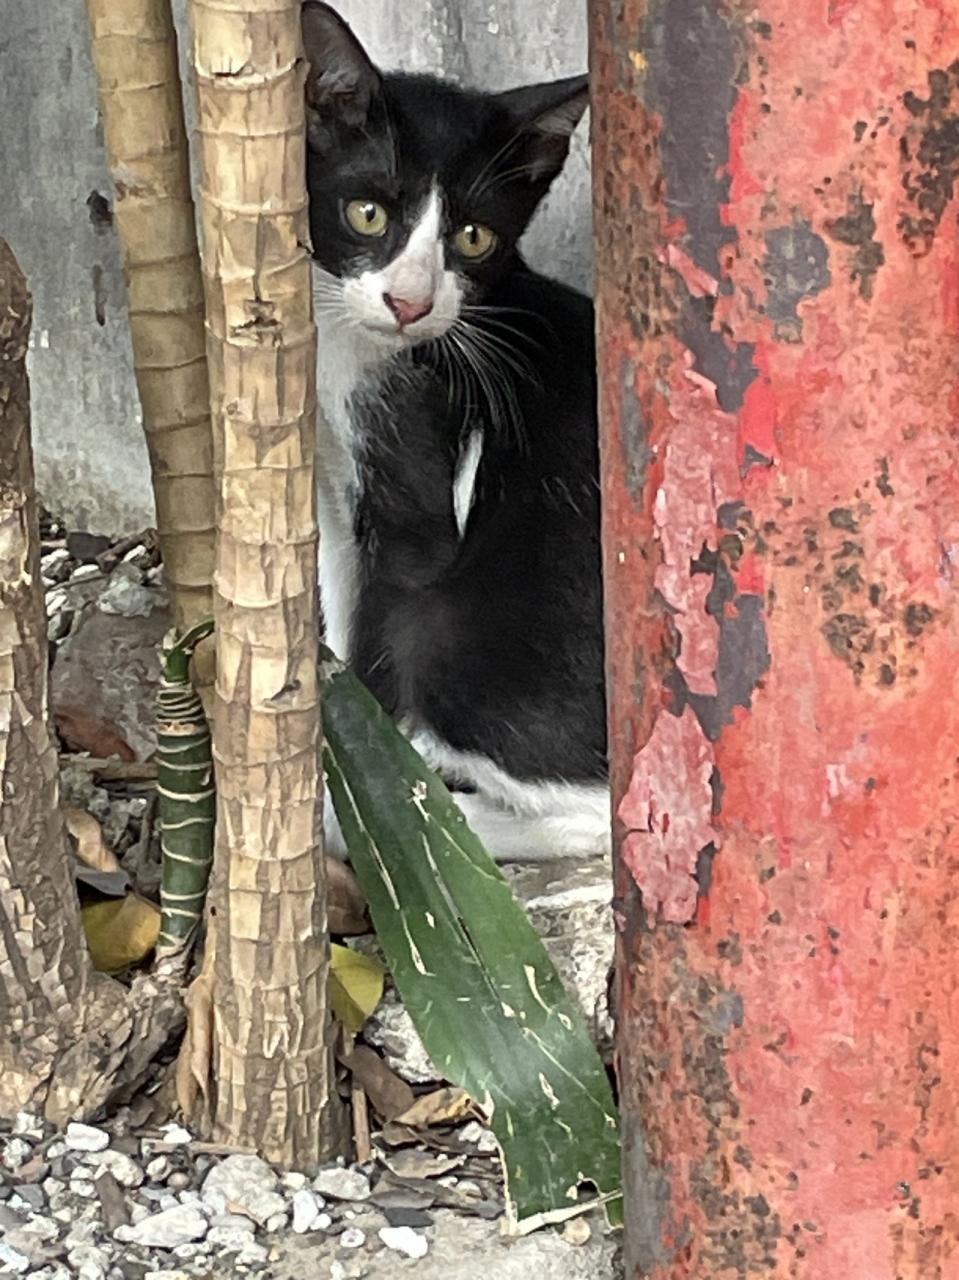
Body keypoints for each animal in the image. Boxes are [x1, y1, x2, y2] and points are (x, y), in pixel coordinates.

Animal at [302, 2, 609, 861]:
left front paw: (363, 795)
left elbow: (380, 637)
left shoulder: (415, 469)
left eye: (473, 237)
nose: (409, 302)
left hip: (457, 634)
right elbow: (342, 605)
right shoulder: (335, 483)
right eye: (367, 212)